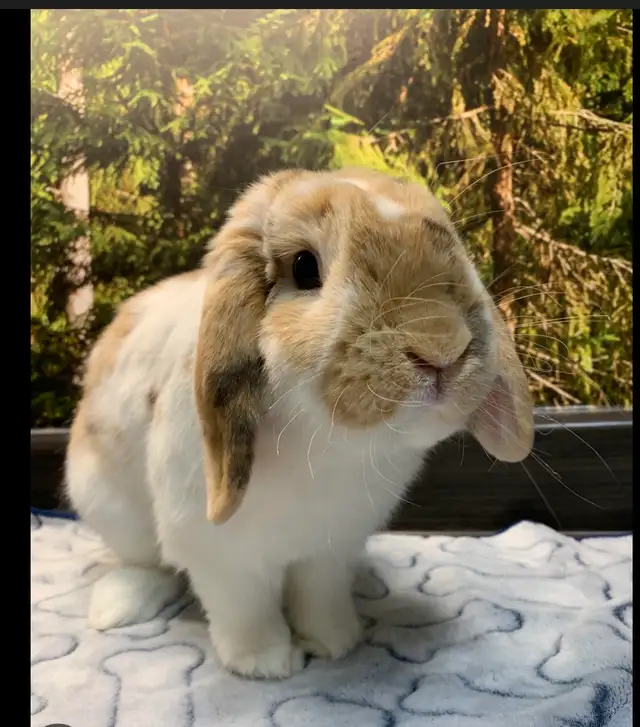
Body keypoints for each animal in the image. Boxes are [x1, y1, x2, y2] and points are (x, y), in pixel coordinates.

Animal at [65, 167, 534, 679]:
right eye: (305, 267)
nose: (442, 348)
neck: (328, 447)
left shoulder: (330, 548)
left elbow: (320, 595)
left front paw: (335, 642)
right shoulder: (223, 556)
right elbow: (245, 608)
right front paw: (266, 663)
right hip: (110, 509)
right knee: (145, 564)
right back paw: (117, 607)